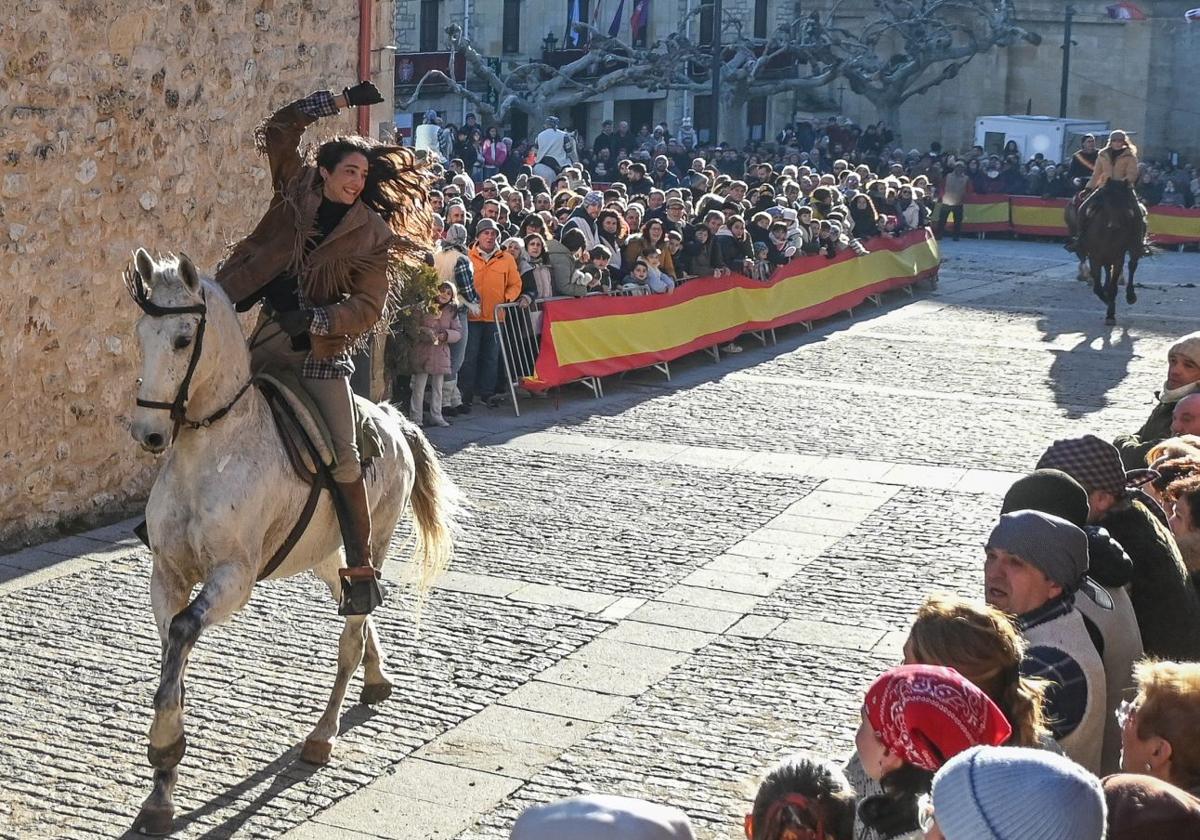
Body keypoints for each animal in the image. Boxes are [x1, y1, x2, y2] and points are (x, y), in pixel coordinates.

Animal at [124, 247, 456, 835]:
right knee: (356, 603)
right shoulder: (167, 574)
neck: (209, 452)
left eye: (184, 339)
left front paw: (165, 750)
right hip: (324, 554)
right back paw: (377, 678)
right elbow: (171, 655)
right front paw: (161, 789)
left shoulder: (233, 579)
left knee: (353, 628)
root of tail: (394, 421)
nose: (149, 434)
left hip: (374, 540)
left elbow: (183, 634)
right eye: (141, 334)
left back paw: (323, 735)